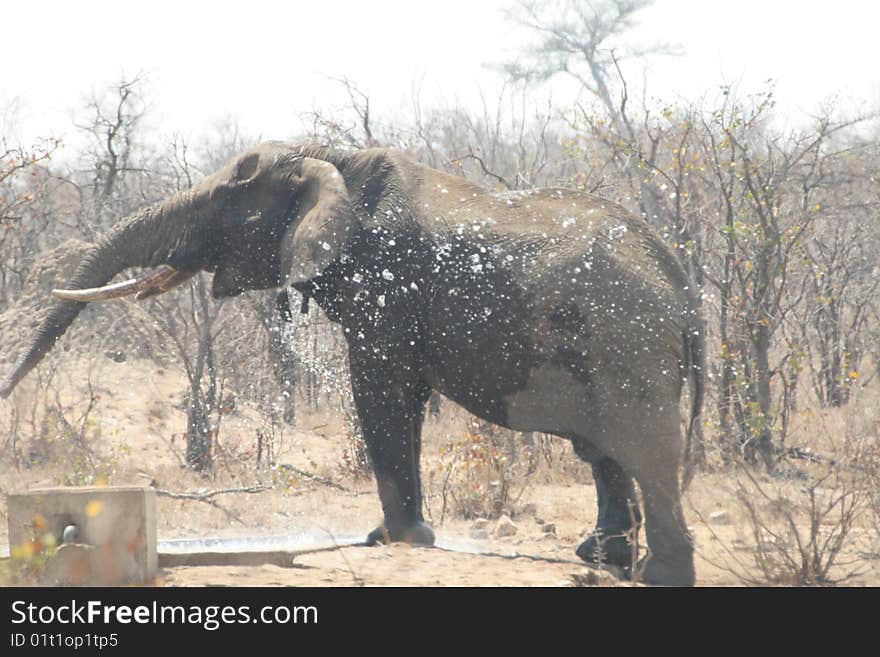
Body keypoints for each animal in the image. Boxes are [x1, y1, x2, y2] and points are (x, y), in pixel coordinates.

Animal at [0, 140, 700, 584]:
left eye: (226, 196)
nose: (9, 388)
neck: (333, 158)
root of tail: (684, 284)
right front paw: (396, 537)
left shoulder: (383, 289)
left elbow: (381, 390)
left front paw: (395, 541)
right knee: (604, 450)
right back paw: (599, 559)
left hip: (627, 341)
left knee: (644, 449)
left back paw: (659, 576)